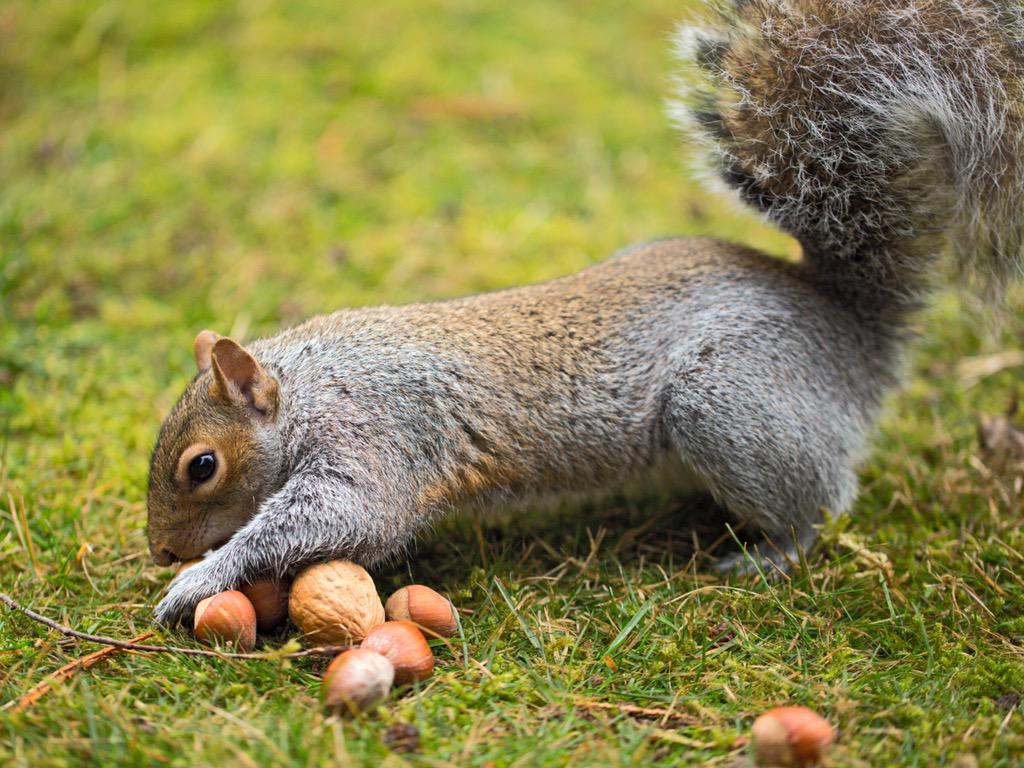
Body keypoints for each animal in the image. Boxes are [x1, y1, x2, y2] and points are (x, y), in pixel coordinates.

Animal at [149, 0, 1024, 624]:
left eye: (202, 466)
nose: (160, 551)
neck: (310, 388)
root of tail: (851, 329)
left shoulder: (375, 439)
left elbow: (343, 515)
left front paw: (202, 580)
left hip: (730, 402)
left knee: (820, 504)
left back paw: (770, 553)